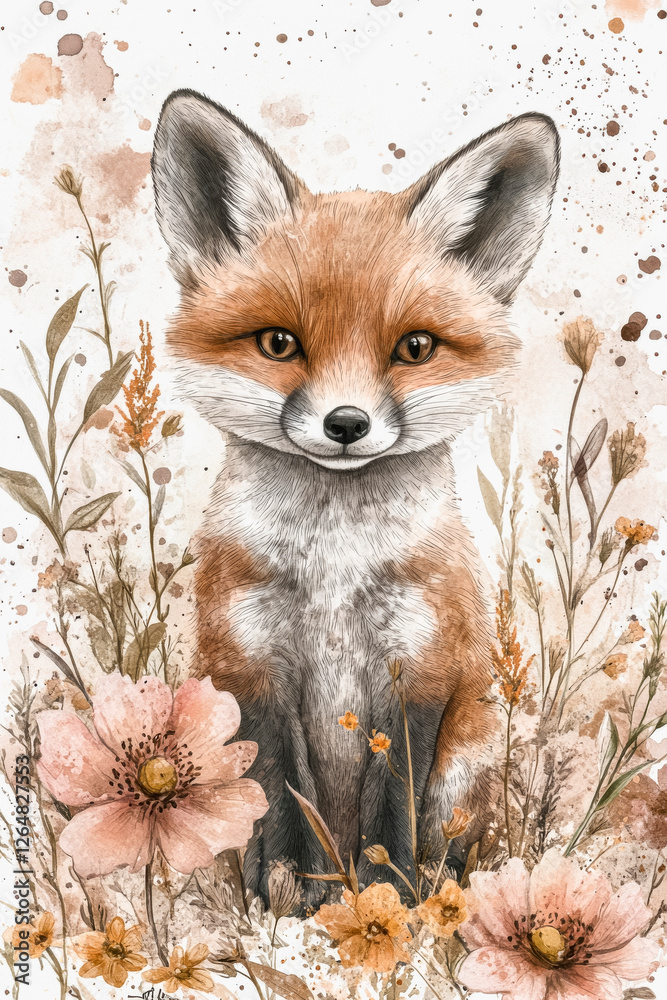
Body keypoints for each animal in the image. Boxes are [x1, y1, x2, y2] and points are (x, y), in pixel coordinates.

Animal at [151, 90, 560, 899]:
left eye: (414, 348)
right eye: (278, 344)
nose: (345, 424)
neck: (334, 568)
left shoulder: (420, 665)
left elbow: (390, 800)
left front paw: (384, 896)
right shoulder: (249, 662)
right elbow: (280, 791)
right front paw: (286, 893)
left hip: (466, 772)